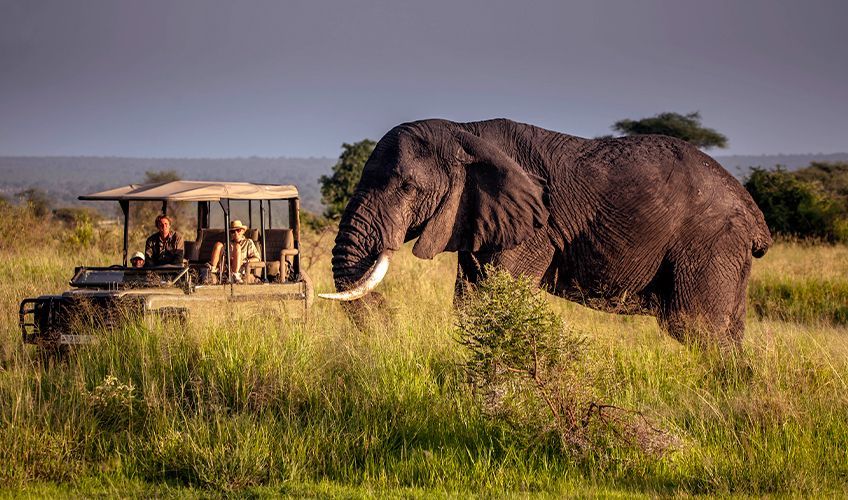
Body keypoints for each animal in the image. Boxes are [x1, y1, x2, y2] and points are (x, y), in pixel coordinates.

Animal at [320, 118, 772, 344]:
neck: (464, 129)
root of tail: (754, 214)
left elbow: (489, 299)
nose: (388, 316)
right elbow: (470, 298)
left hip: (709, 243)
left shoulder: (537, 228)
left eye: (407, 188)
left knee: (696, 327)